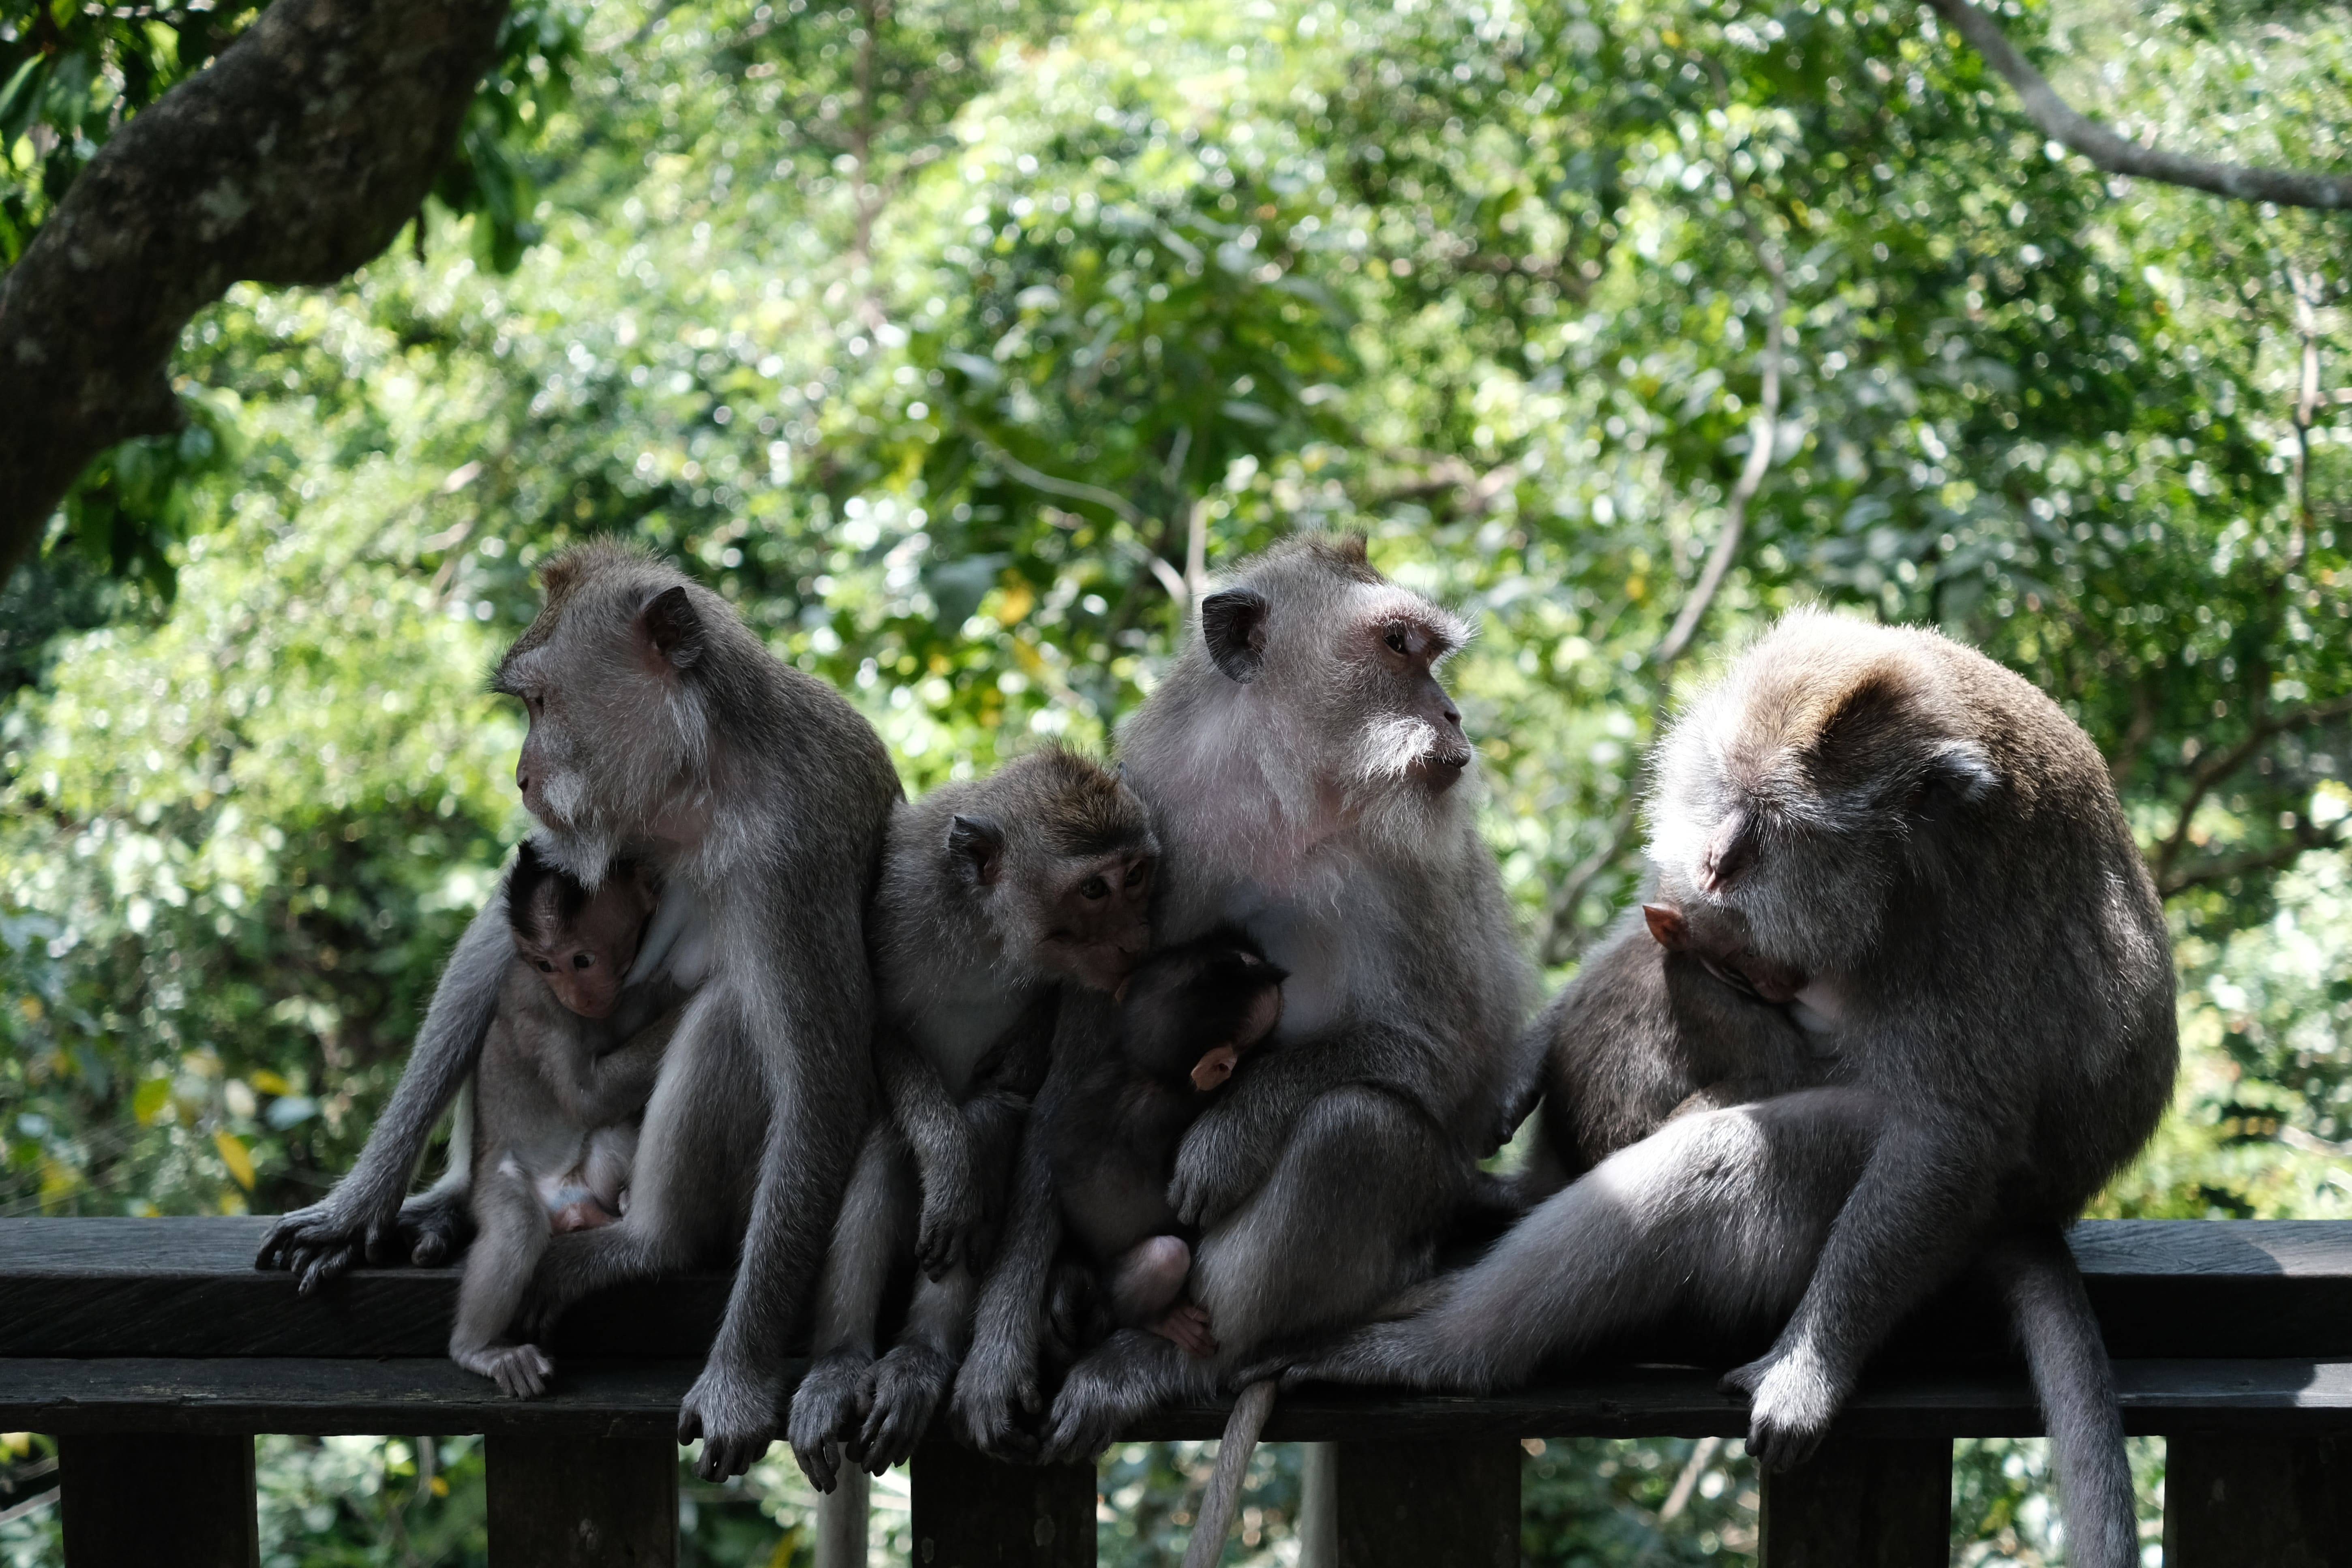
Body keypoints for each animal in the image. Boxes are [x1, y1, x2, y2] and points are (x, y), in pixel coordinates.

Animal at [449, 846, 687, 1401]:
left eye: (582, 960)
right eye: (545, 965)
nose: (575, 995)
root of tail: (567, 1204)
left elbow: (606, 1102)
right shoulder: (537, 1001)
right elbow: (586, 1097)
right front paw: (689, 995)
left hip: (586, 1185)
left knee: (610, 1135)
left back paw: (618, 1208)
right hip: (498, 1183)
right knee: (517, 1227)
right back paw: (477, 1349)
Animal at [1044, 931, 1289, 1363]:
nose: (1269, 965)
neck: (1148, 1071)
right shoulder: (1185, 1102)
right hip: (1124, 1283)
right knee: (1165, 1257)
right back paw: (1161, 1319)